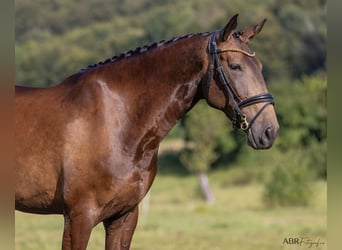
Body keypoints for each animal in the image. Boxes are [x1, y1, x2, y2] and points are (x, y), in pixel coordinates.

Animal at [15, 14, 278, 250]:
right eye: (236, 66)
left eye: (260, 67)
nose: (269, 130)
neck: (117, 121)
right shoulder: (79, 217)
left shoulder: (124, 216)